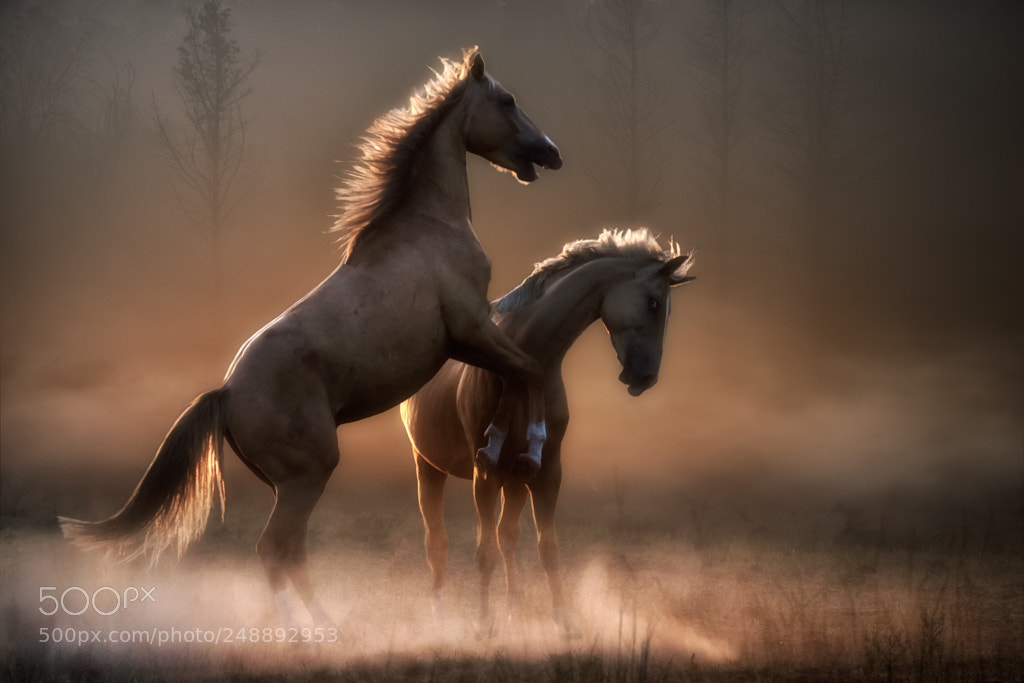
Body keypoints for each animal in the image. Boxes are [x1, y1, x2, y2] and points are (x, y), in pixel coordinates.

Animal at [58, 48, 562, 628]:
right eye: (507, 101)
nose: (551, 153)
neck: (431, 228)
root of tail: (226, 393)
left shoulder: (473, 339)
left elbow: (518, 375)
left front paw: (502, 442)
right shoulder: (472, 330)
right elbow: (530, 370)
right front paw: (526, 446)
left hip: (287, 484)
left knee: (291, 552)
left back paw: (325, 628)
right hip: (308, 475)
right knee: (275, 549)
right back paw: (312, 633)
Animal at [400, 228, 694, 637]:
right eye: (653, 302)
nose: (645, 377)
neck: (524, 364)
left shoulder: (546, 473)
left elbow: (547, 549)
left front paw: (564, 622)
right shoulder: (485, 473)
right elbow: (483, 551)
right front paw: (483, 624)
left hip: (514, 480)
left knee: (508, 537)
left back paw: (513, 614)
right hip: (429, 467)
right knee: (437, 543)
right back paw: (440, 620)